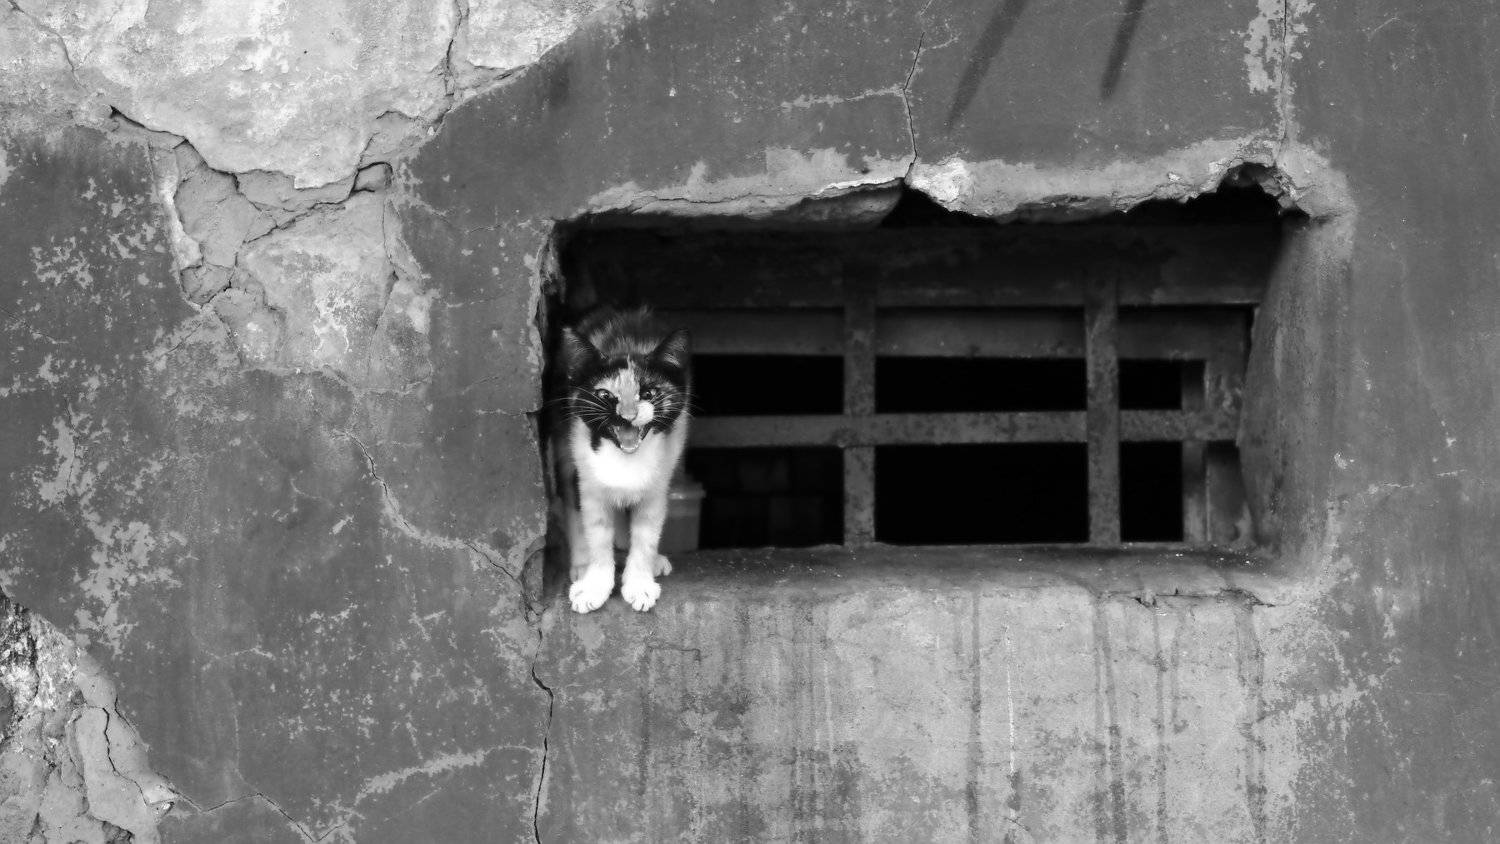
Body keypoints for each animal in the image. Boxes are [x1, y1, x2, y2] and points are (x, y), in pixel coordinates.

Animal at [553, 307, 691, 613]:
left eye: (648, 393)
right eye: (605, 394)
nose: (628, 414)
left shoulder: (658, 483)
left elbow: (646, 534)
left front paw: (639, 584)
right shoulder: (584, 478)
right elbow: (595, 532)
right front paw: (593, 585)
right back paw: (581, 565)